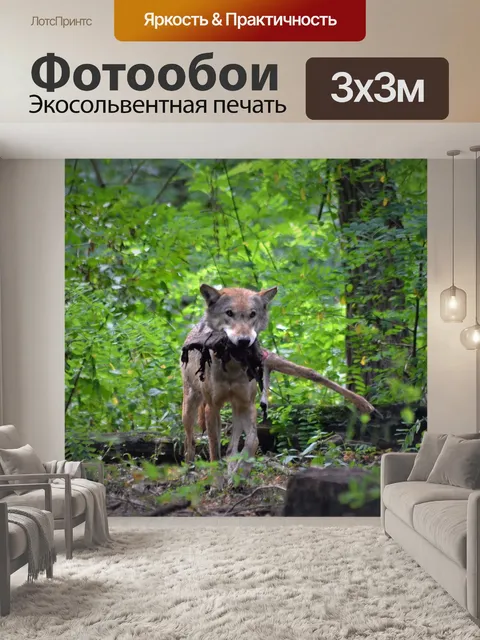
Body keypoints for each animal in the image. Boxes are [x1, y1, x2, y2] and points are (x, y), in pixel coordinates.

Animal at [181, 284, 375, 474]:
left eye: (253, 314)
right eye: (229, 313)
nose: (244, 341)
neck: (232, 368)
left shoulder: (248, 404)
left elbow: (253, 441)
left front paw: (243, 469)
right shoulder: (212, 407)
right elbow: (214, 451)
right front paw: (219, 479)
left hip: (240, 403)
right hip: (190, 408)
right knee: (190, 444)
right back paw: (190, 471)